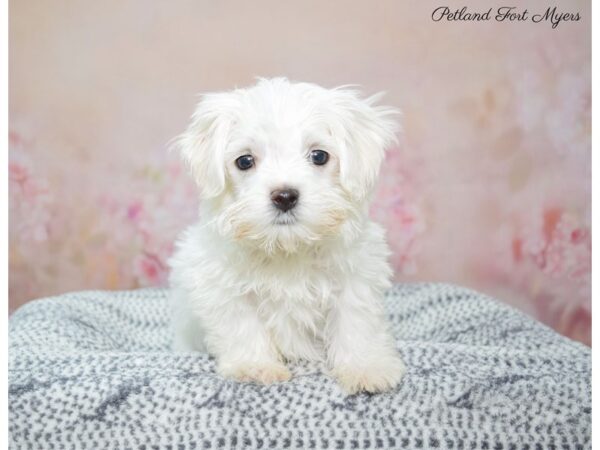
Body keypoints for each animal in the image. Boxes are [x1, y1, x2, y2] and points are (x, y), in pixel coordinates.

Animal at [168, 78, 404, 394]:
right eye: (245, 161)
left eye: (319, 156)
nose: (284, 196)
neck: (288, 247)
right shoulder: (222, 286)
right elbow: (242, 325)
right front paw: (255, 366)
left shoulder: (356, 279)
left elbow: (356, 322)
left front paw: (365, 367)